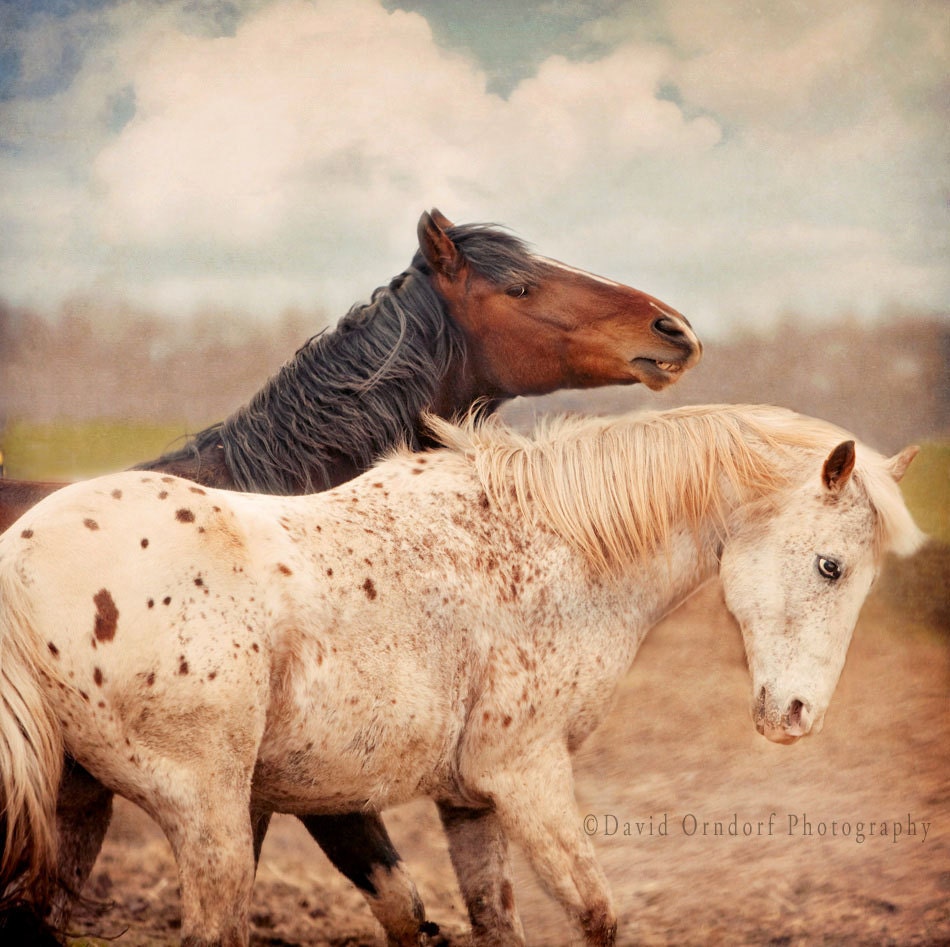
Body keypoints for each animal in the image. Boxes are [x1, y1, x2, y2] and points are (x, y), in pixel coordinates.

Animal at [0, 404, 922, 946]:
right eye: (832, 566)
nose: (795, 714)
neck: (554, 543)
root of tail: (21, 558)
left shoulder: (470, 801)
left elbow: (494, 919)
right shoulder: (526, 774)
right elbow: (595, 914)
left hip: (83, 806)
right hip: (207, 815)